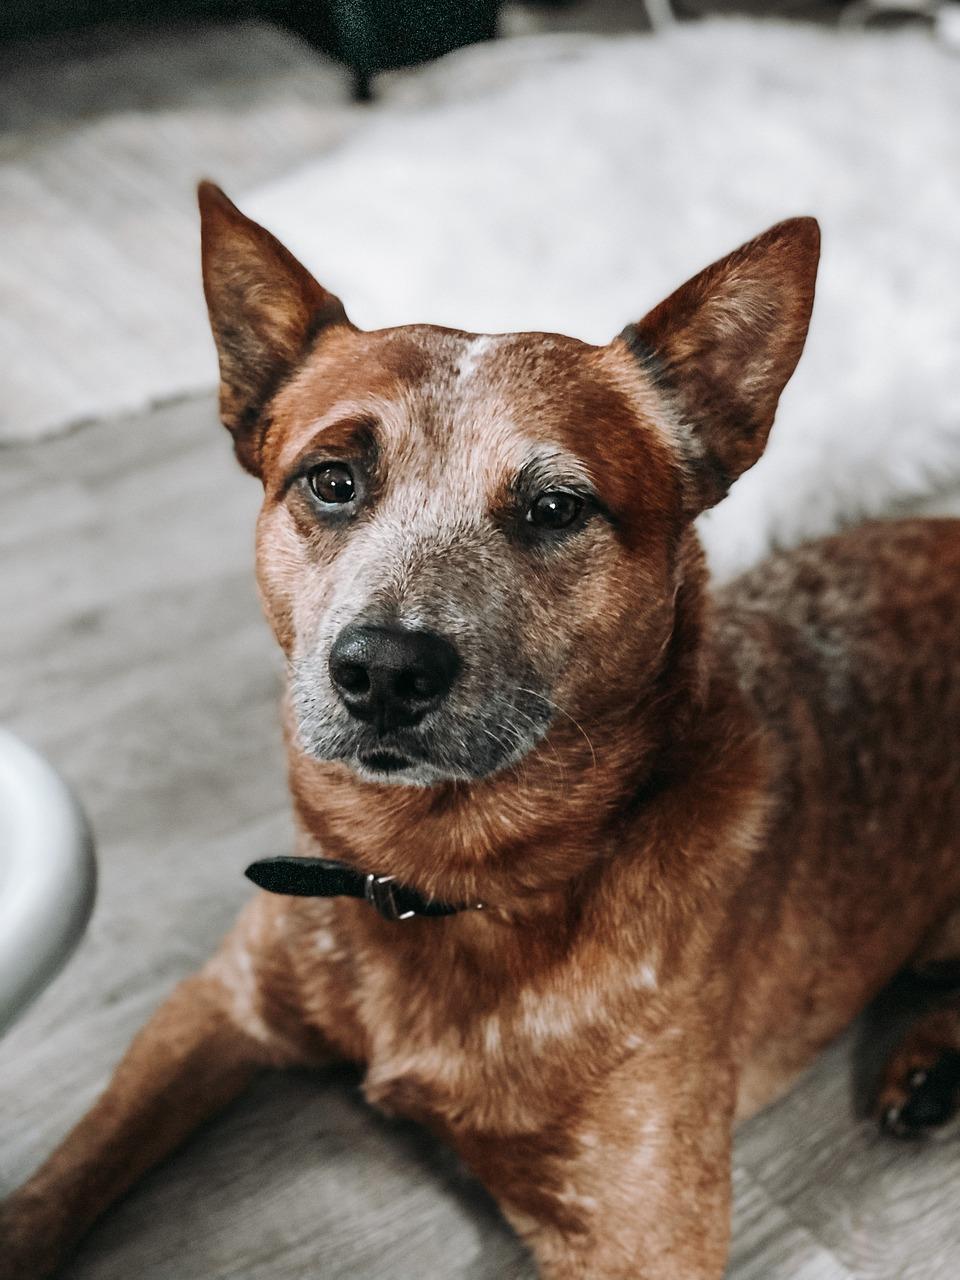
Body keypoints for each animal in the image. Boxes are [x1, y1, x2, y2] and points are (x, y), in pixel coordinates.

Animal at [1, 183, 960, 1280]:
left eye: (557, 507)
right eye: (332, 480)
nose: (384, 668)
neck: (436, 886)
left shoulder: (645, 1233)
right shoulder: (218, 1001)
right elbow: (64, 1175)